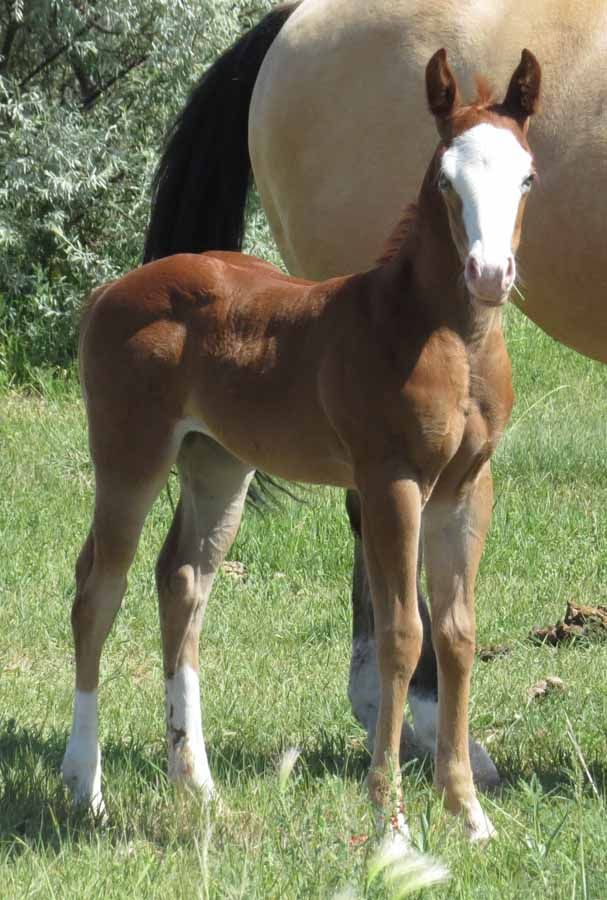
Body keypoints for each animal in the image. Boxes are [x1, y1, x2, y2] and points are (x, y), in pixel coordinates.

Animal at [62, 48, 541, 843]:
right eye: (447, 179)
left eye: (527, 176)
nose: (489, 274)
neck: (442, 336)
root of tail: (110, 291)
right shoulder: (390, 482)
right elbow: (402, 634)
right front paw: (391, 820)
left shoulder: (468, 488)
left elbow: (457, 634)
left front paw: (470, 814)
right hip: (129, 455)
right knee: (99, 588)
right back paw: (86, 788)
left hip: (217, 464)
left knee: (182, 582)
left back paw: (198, 785)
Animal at [143, 0, 607, 787]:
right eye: (447, 180)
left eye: (528, 180)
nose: (490, 273)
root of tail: (291, 22)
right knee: (372, 530)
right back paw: (417, 720)